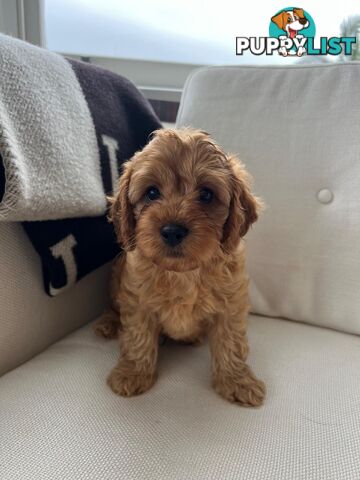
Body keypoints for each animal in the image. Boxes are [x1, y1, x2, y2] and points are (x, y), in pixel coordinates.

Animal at [95, 126, 264, 404]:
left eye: (206, 194)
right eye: (152, 192)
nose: (172, 231)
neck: (184, 272)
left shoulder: (232, 304)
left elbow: (231, 342)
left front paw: (237, 381)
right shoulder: (137, 300)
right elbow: (137, 338)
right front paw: (132, 373)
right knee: (113, 306)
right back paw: (108, 323)